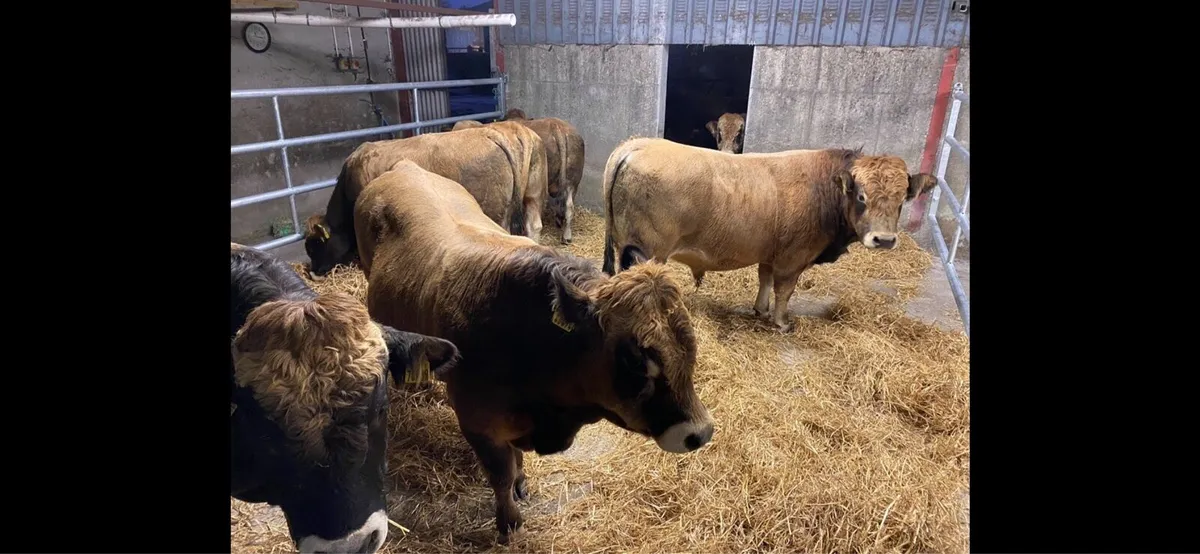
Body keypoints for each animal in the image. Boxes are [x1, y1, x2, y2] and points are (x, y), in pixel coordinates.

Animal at [303, 126, 548, 277]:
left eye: (315, 246)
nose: (314, 272)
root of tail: (494, 133)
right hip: (532, 195)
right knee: (533, 226)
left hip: (496, 211)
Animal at [351, 160, 715, 543]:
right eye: (636, 359)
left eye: (689, 345)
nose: (701, 432)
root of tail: (406, 167)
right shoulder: (479, 424)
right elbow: (501, 475)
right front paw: (509, 522)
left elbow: (516, 464)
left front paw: (522, 482)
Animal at [600, 139, 937, 332]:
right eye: (861, 196)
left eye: (902, 199)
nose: (884, 240)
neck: (823, 189)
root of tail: (636, 146)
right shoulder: (794, 258)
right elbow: (784, 290)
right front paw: (782, 322)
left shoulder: (770, 253)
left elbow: (764, 279)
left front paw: (760, 310)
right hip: (649, 250)